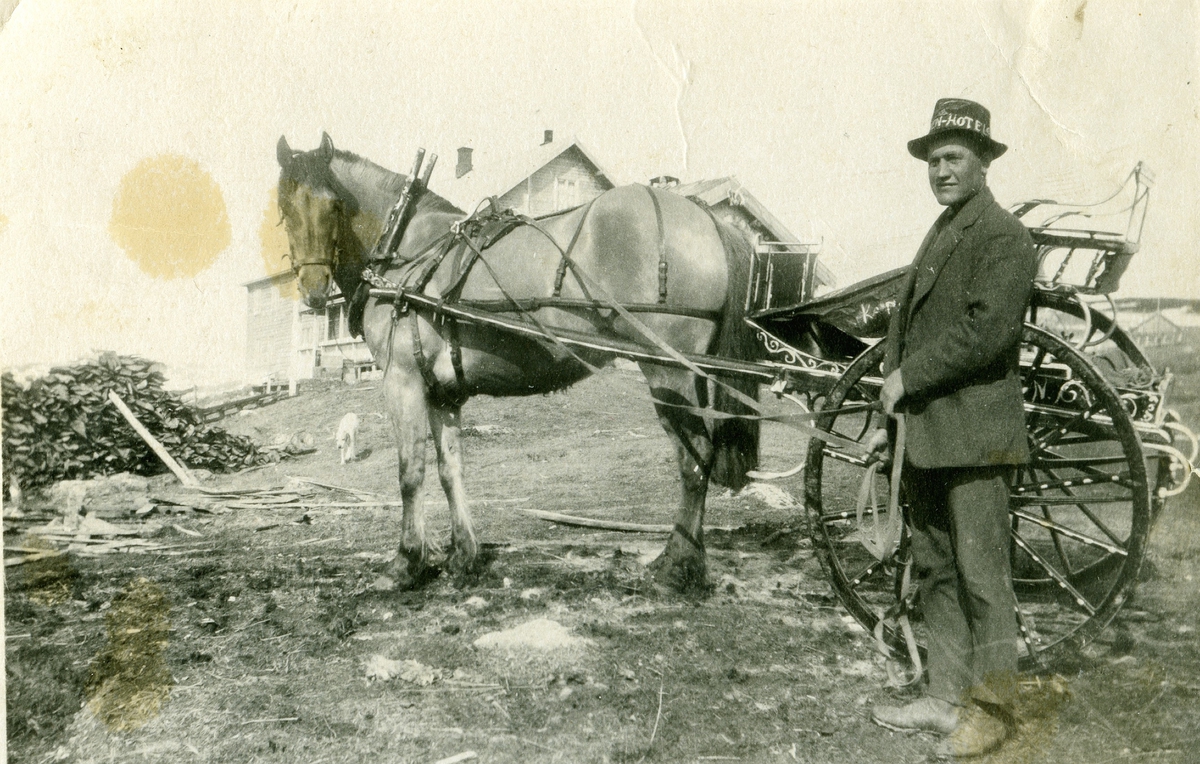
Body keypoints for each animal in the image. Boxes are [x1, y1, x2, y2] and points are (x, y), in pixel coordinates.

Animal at [274, 134, 758, 592]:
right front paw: (464, 555)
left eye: (334, 204)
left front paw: (406, 563)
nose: (314, 289)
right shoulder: (442, 392)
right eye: (285, 204)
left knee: (694, 461)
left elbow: (410, 472)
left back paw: (678, 564)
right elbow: (451, 470)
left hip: (668, 370)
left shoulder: (402, 380)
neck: (409, 250)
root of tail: (708, 218)